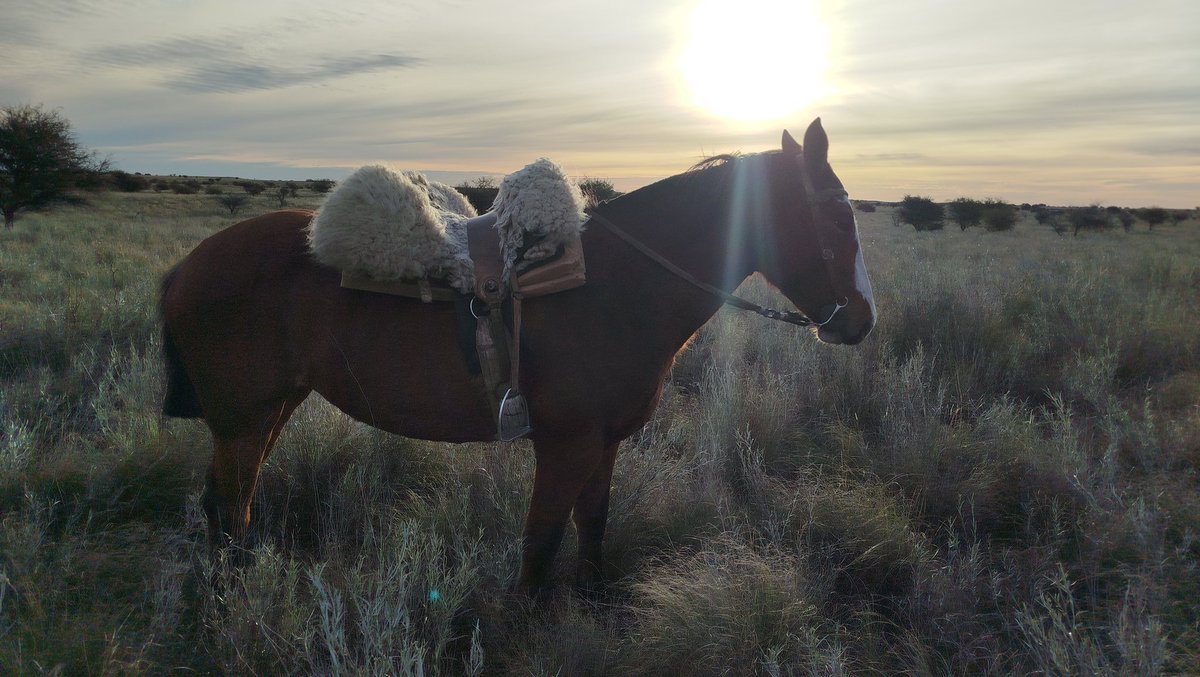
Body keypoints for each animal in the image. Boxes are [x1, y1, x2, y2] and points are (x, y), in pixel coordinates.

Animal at [159, 118, 876, 594]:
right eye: (839, 220)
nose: (862, 322)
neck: (618, 286)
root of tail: (189, 264)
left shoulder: (603, 443)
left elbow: (593, 524)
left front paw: (590, 604)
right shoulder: (565, 445)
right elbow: (540, 544)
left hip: (267, 411)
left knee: (227, 507)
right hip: (243, 421)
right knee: (228, 511)